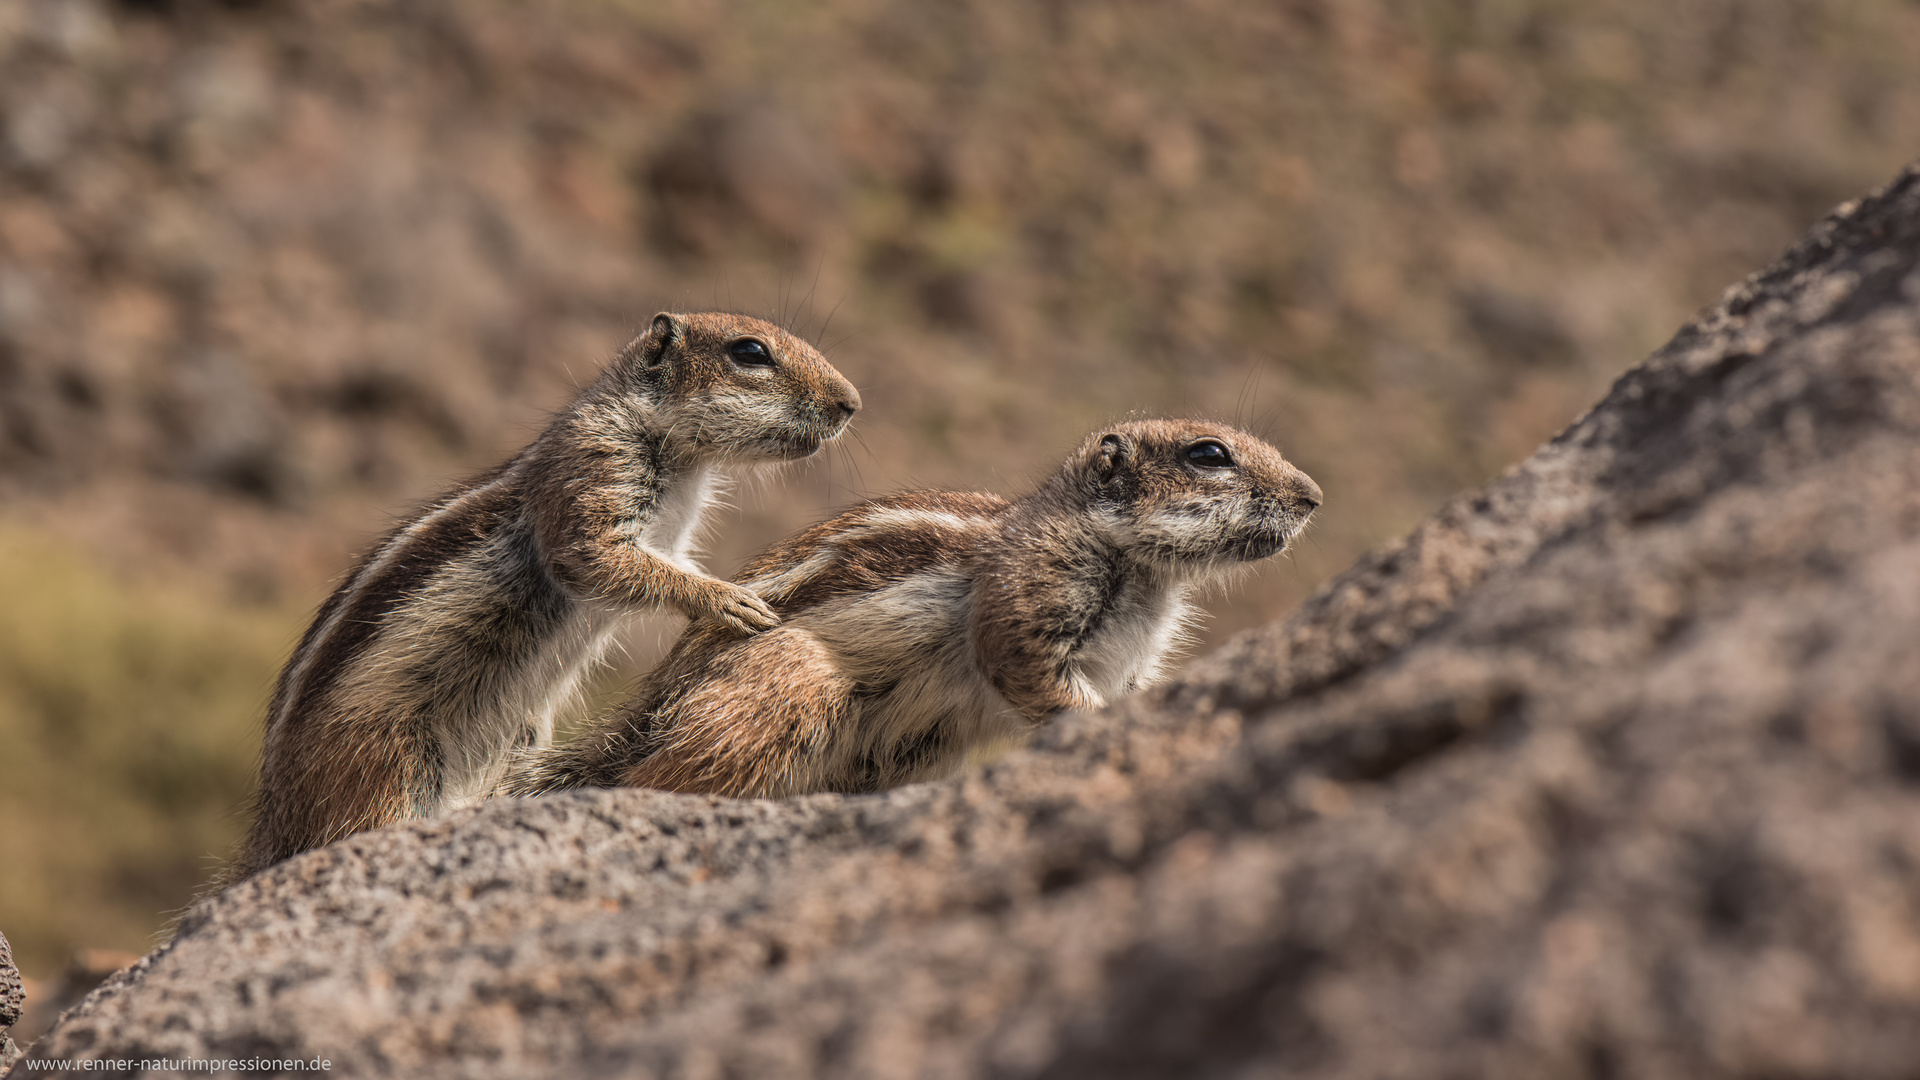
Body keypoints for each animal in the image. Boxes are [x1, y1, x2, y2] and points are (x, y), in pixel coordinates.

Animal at [240, 307, 864, 868]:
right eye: (750, 352)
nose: (851, 403)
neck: (680, 456)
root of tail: (273, 818)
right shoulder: (592, 473)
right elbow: (598, 561)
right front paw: (727, 600)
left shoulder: (670, 535)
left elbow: (670, 565)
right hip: (387, 765)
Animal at [499, 417, 1320, 795]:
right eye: (1208, 454)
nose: (1313, 496)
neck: (1148, 575)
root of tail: (647, 714)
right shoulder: (1032, 593)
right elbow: (1030, 670)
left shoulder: (1135, 659)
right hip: (783, 687)